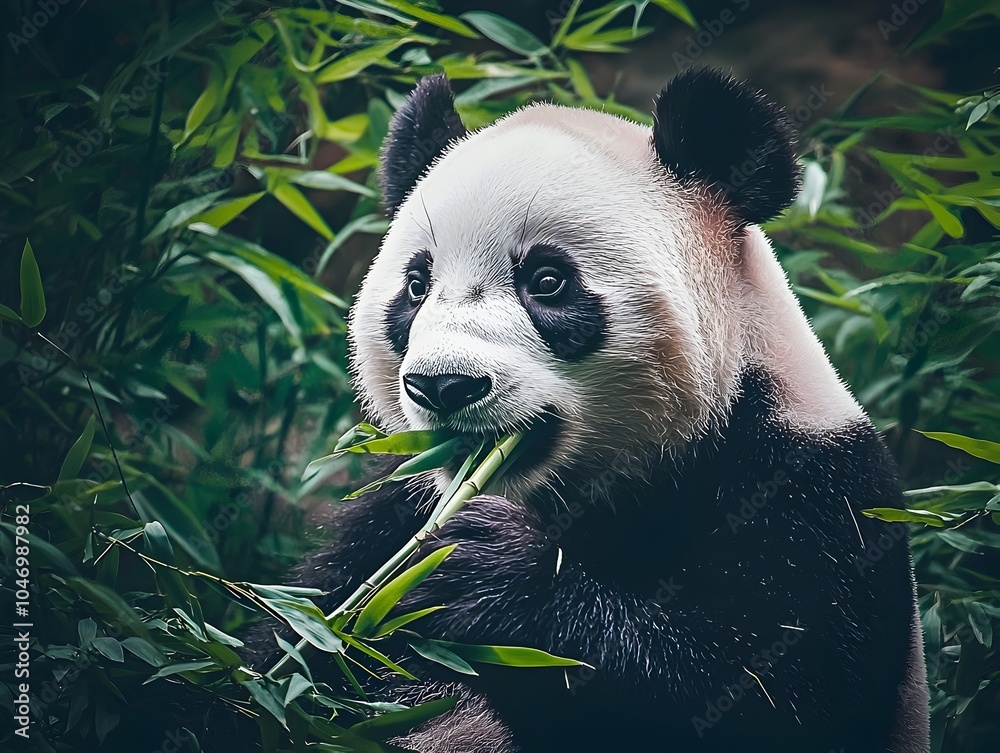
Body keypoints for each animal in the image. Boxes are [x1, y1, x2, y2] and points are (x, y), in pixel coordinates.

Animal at [281, 69, 931, 753]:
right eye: (416, 286)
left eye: (547, 281)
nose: (443, 385)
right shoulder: (393, 510)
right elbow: (308, 630)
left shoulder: (811, 491)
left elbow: (770, 689)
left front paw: (479, 564)